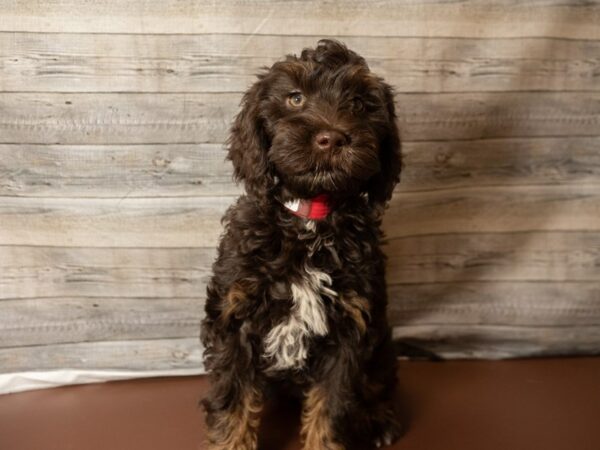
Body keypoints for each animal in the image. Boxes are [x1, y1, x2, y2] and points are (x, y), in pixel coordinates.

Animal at [202, 39, 404, 450]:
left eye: (359, 104)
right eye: (295, 98)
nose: (331, 138)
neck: (311, 218)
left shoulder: (350, 329)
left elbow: (332, 406)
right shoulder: (235, 318)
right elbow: (233, 400)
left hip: (380, 341)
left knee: (378, 381)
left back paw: (379, 420)